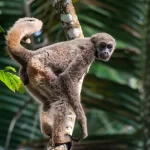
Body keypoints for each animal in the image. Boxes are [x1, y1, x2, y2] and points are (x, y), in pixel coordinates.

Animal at [5, 17, 116, 148]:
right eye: (103, 46)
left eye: (109, 47)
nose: (106, 52)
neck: (92, 42)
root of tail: (32, 54)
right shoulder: (88, 52)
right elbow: (67, 77)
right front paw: (83, 126)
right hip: (38, 69)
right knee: (61, 99)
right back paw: (59, 139)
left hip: (28, 78)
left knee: (47, 102)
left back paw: (49, 132)